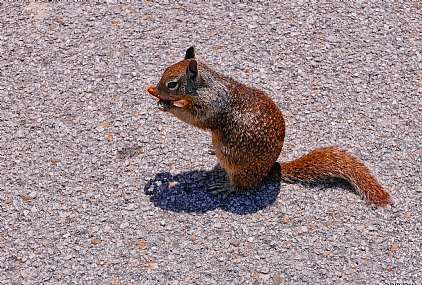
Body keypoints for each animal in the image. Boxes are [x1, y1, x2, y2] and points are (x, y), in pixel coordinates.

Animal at [148, 46, 392, 206]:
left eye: (172, 84)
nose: (156, 90)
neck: (205, 85)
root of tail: (270, 170)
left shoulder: (211, 105)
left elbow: (197, 119)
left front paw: (168, 106)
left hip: (235, 164)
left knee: (244, 185)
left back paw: (226, 186)